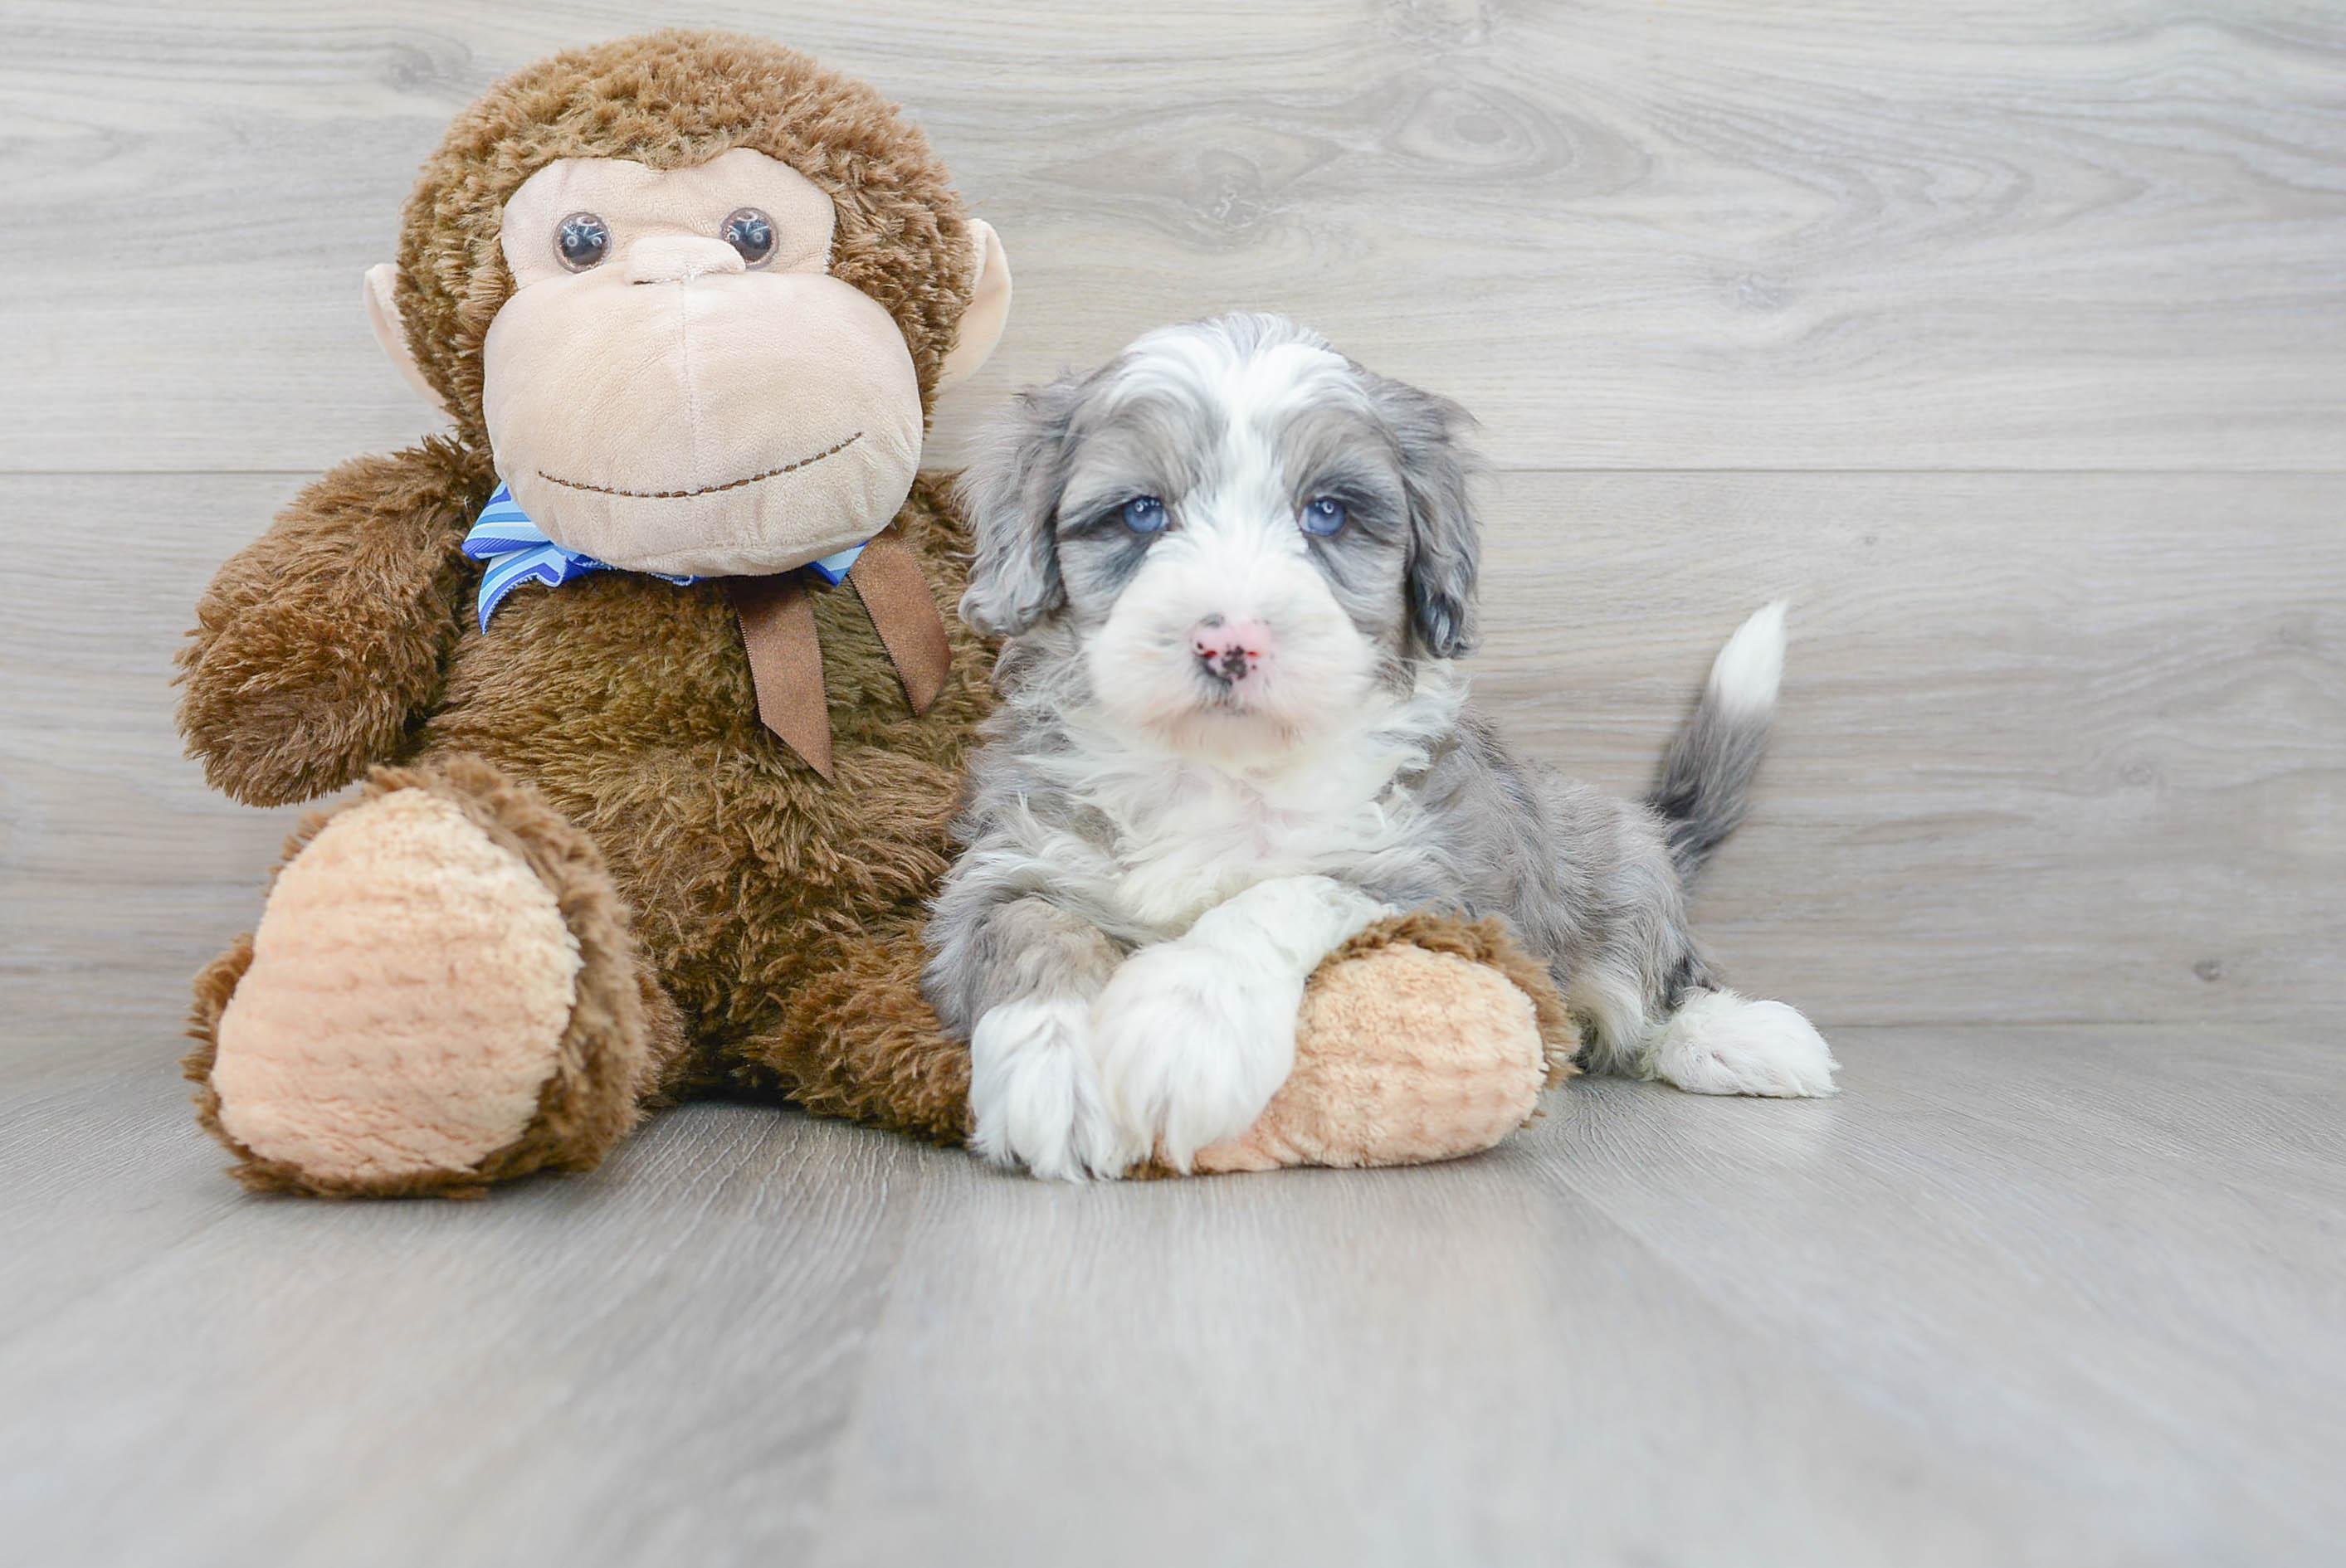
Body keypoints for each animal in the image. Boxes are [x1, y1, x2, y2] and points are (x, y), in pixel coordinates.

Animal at [924, 314, 1839, 1171]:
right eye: (1142, 513)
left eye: (1326, 513)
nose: (1230, 641)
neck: (1220, 767)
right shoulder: (1012, 864)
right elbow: (1031, 932)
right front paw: (1062, 1067)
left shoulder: (1425, 881)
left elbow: (1283, 893)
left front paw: (1190, 1022)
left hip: (1615, 868)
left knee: (1653, 979)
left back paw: (1737, 1037)